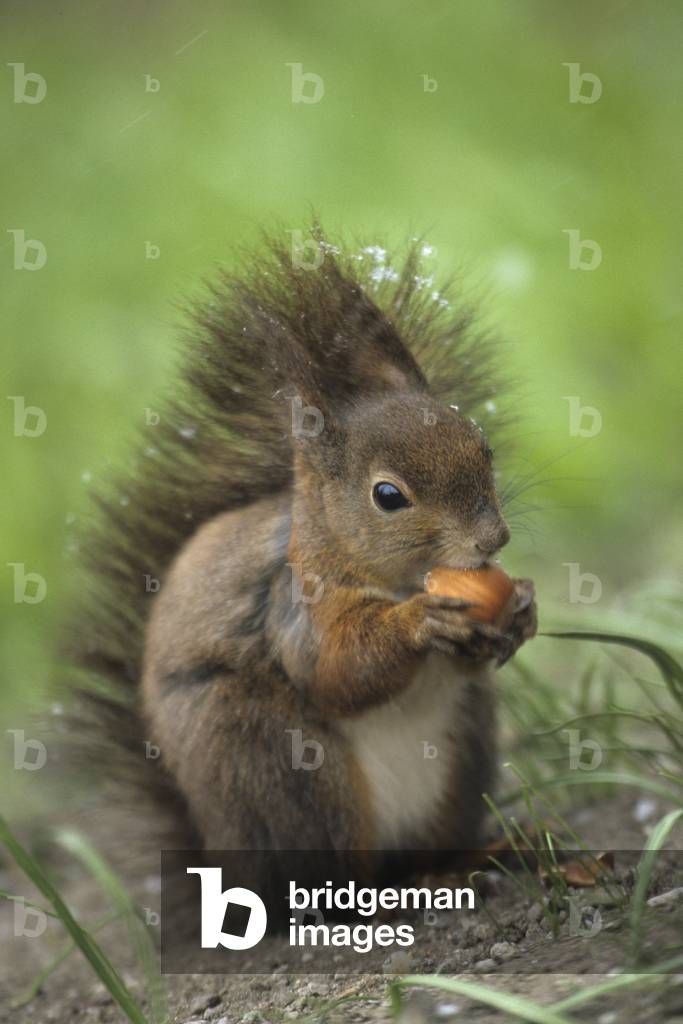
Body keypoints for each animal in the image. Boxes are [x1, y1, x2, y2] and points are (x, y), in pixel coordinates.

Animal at [68, 227, 537, 902]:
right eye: (388, 496)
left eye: (484, 448)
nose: (492, 539)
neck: (389, 578)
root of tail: (222, 861)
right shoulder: (293, 602)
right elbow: (336, 669)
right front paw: (421, 622)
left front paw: (522, 608)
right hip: (282, 762)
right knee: (324, 877)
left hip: (464, 747)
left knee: (422, 855)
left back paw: (467, 862)